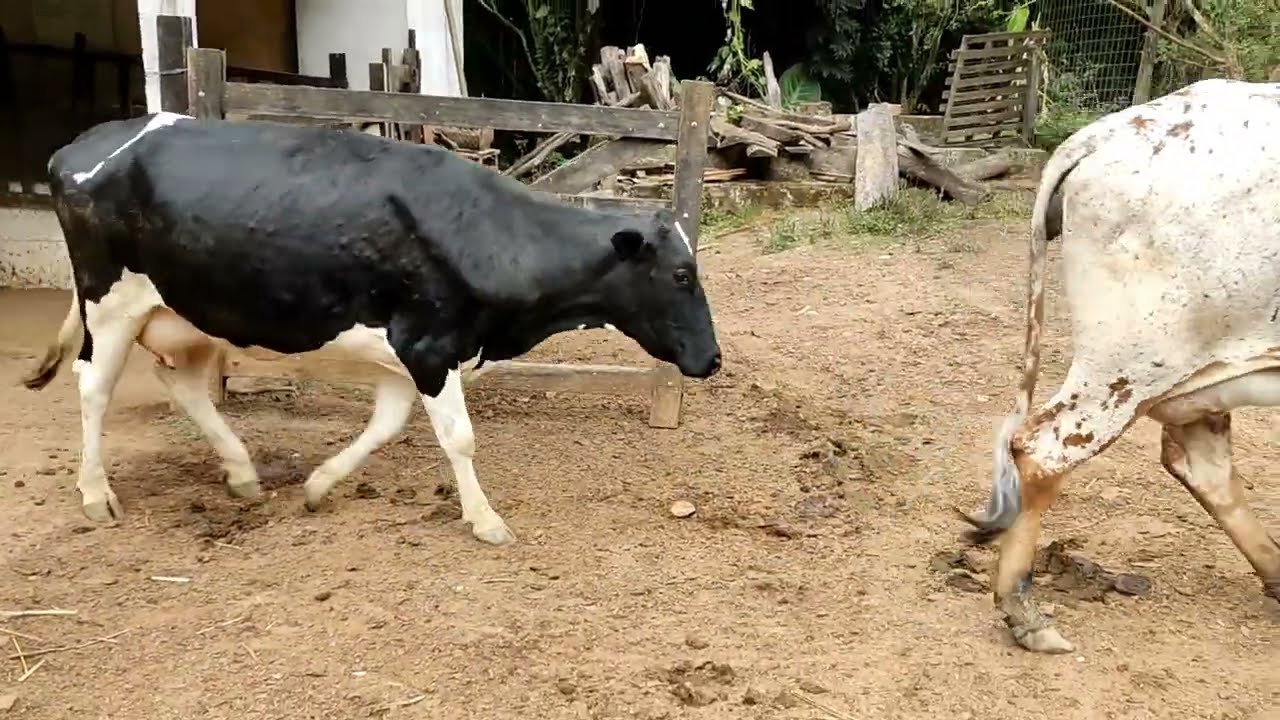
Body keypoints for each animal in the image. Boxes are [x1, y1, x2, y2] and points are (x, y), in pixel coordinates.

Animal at [20, 111, 722, 546]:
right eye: (682, 274)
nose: (713, 359)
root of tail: (84, 143)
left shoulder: (405, 356)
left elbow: (384, 427)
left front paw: (318, 486)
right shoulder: (430, 346)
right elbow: (460, 439)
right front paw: (485, 520)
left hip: (188, 313)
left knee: (186, 387)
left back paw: (243, 474)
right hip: (110, 302)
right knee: (92, 387)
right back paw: (95, 494)